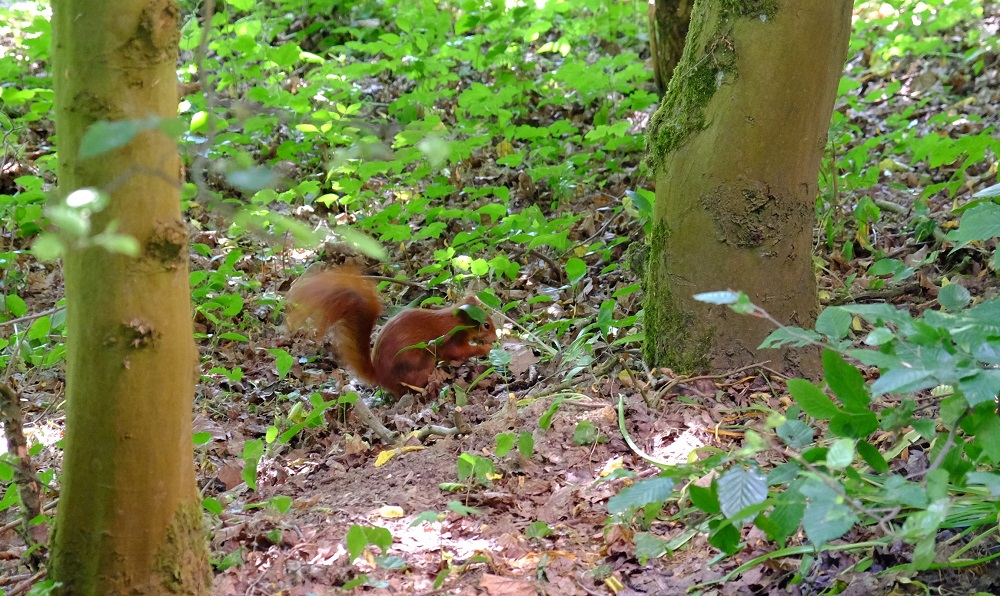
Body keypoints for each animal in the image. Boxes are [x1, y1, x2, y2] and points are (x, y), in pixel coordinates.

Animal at [285, 266, 497, 398]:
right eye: (486, 325)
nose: (495, 338)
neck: (456, 320)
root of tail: (382, 378)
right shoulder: (450, 339)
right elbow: (458, 351)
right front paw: (485, 349)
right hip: (418, 363)